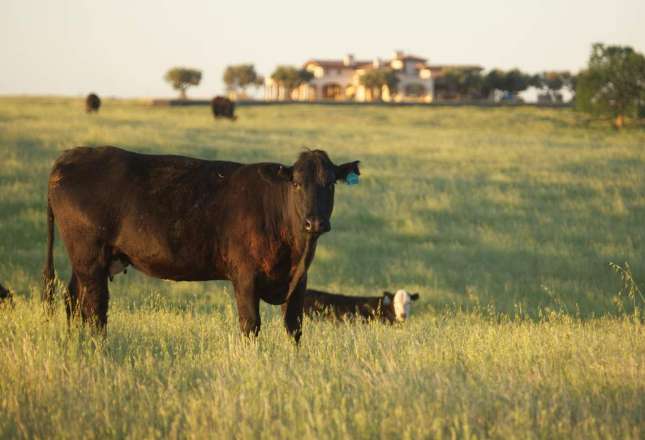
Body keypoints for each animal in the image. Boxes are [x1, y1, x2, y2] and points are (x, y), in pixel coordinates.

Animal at [42, 146, 360, 342]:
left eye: (331, 183)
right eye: (296, 184)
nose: (315, 223)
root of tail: (71, 156)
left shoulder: (299, 282)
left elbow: (294, 328)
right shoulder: (244, 276)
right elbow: (250, 325)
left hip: (85, 261)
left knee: (73, 300)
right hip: (89, 257)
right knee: (95, 309)